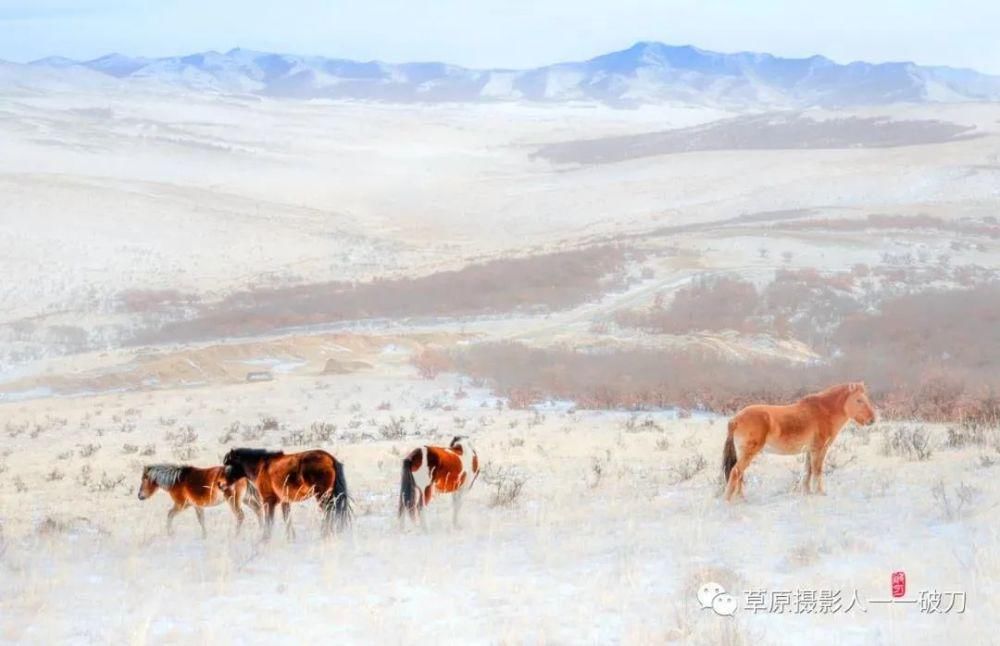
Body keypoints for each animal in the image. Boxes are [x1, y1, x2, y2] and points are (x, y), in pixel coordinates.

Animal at [222, 450, 352, 540]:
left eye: (228, 466)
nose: (221, 485)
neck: (261, 467)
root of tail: (330, 459)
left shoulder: (268, 502)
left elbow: (269, 522)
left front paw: (264, 540)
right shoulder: (285, 501)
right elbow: (287, 520)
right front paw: (291, 538)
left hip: (323, 496)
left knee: (329, 513)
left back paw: (325, 534)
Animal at [720, 382, 876, 504]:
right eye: (859, 400)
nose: (872, 419)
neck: (824, 412)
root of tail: (735, 419)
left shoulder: (809, 451)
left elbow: (808, 471)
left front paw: (807, 493)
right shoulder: (819, 450)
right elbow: (817, 471)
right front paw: (819, 493)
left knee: (739, 474)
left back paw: (741, 499)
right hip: (748, 453)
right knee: (736, 472)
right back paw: (728, 501)